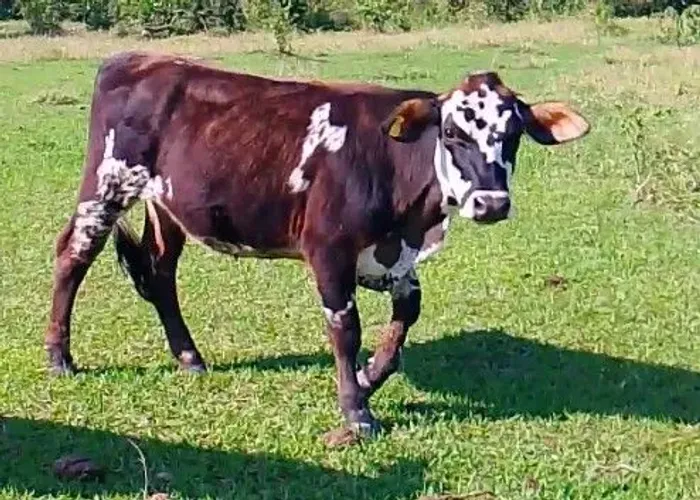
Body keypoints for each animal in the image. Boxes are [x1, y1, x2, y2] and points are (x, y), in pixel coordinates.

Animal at [44, 51, 589, 436]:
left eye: (514, 133)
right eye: (453, 131)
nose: (491, 203)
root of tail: (140, 59)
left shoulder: (392, 256)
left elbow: (407, 313)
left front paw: (371, 376)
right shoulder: (328, 249)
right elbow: (345, 329)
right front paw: (357, 411)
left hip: (167, 205)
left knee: (159, 272)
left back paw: (189, 357)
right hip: (106, 185)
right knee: (73, 256)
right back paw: (59, 357)